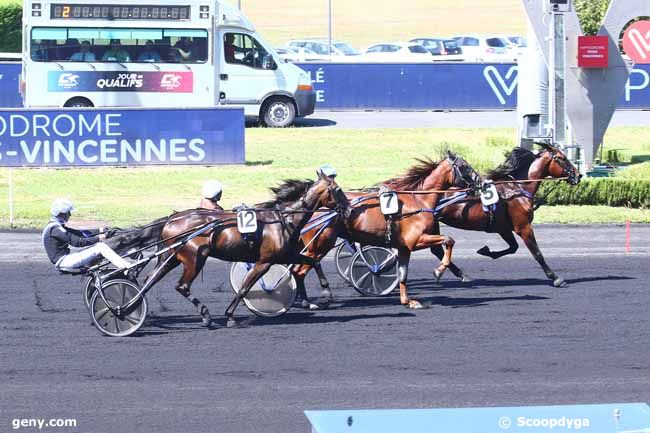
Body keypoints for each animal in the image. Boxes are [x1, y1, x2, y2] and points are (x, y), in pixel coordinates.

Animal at [139, 170, 346, 326]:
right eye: (337, 189)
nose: (348, 208)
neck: (283, 219)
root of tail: (172, 218)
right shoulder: (264, 262)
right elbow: (245, 288)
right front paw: (230, 315)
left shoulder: (286, 255)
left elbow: (311, 262)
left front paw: (322, 295)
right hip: (195, 258)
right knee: (181, 286)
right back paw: (205, 315)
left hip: (171, 257)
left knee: (150, 279)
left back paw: (136, 309)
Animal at [292, 150, 478, 308]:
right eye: (465, 166)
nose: (479, 182)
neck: (419, 201)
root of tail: (311, 208)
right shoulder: (415, 241)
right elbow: (449, 240)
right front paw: (438, 271)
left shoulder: (404, 248)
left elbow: (403, 274)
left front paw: (407, 301)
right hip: (319, 245)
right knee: (299, 270)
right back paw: (309, 300)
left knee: (298, 269)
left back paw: (305, 300)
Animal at [428, 143, 580, 288]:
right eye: (562, 158)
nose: (578, 175)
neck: (518, 189)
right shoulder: (524, 226)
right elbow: (537, 253)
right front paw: (556, 278)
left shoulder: (504, 228)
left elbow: (513, 248)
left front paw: (486, 251)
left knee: (436, 249)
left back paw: (461, 274)